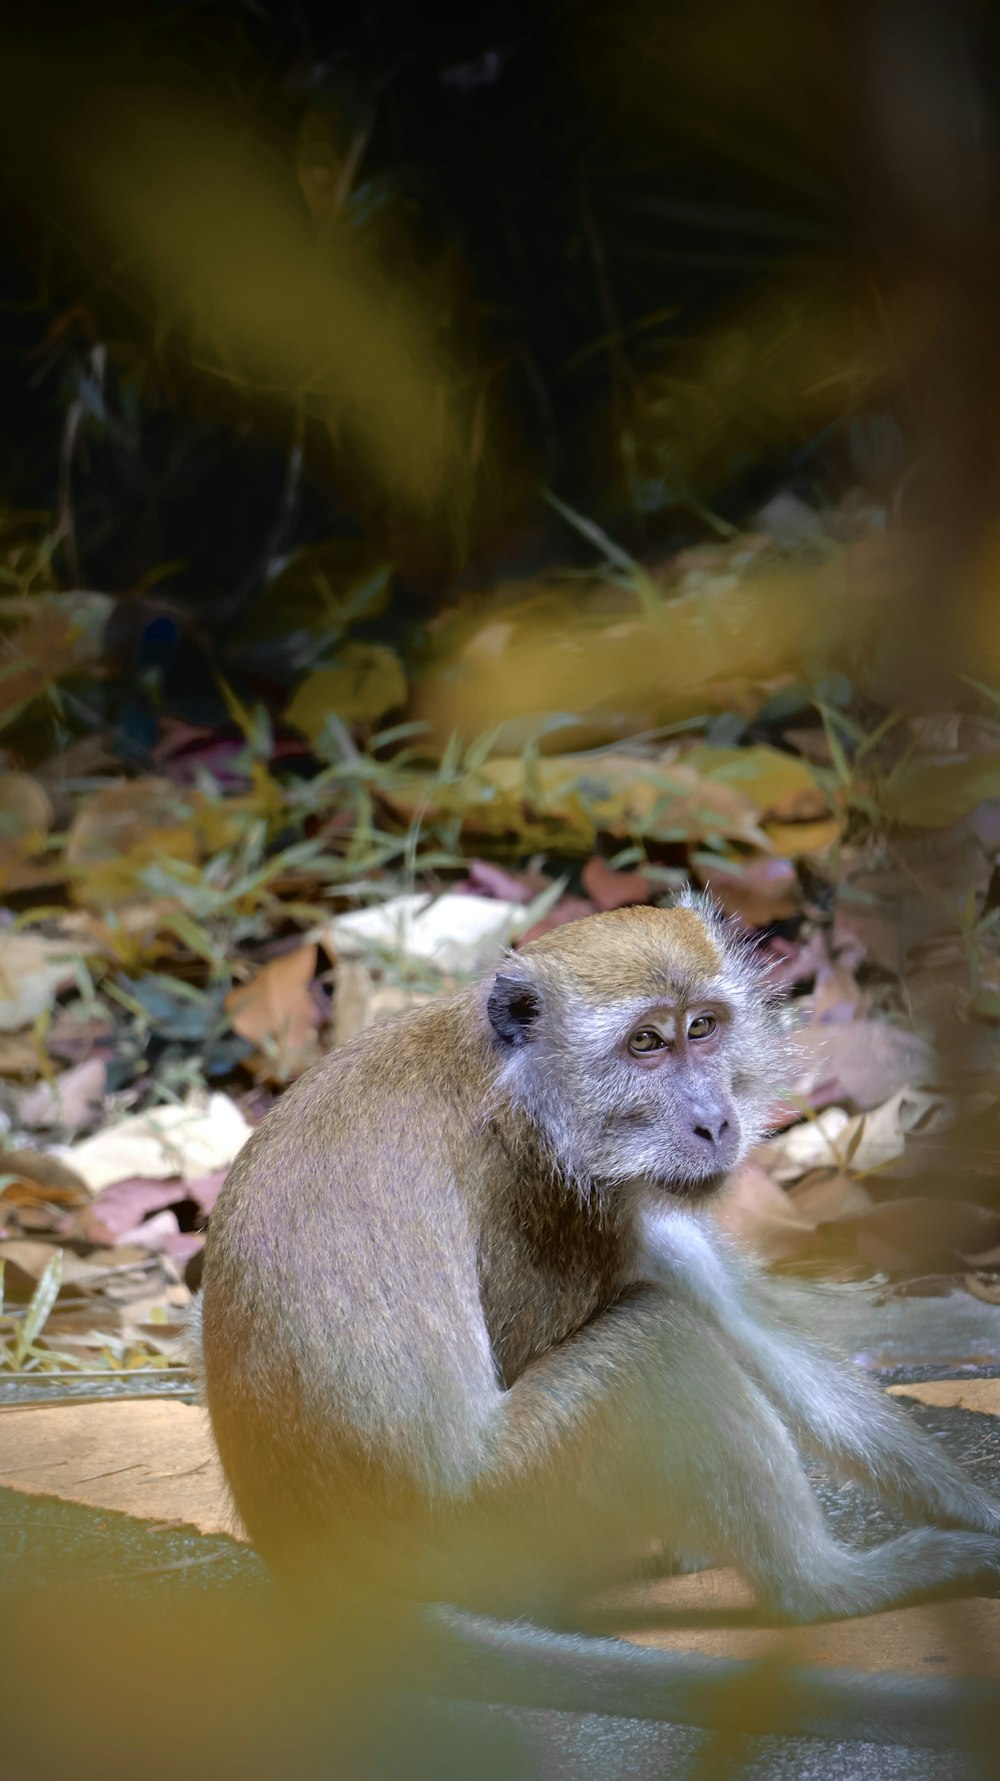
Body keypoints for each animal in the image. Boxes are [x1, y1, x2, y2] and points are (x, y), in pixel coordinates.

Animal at [198, 904, 998, 1631]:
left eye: (702, 1028)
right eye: (645, 1043)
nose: (715, 1121)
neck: (516, 1082)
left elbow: (763, 1340)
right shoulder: (545, 1199)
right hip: (499, 1522)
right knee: (660, 1342)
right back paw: (824, 1587)